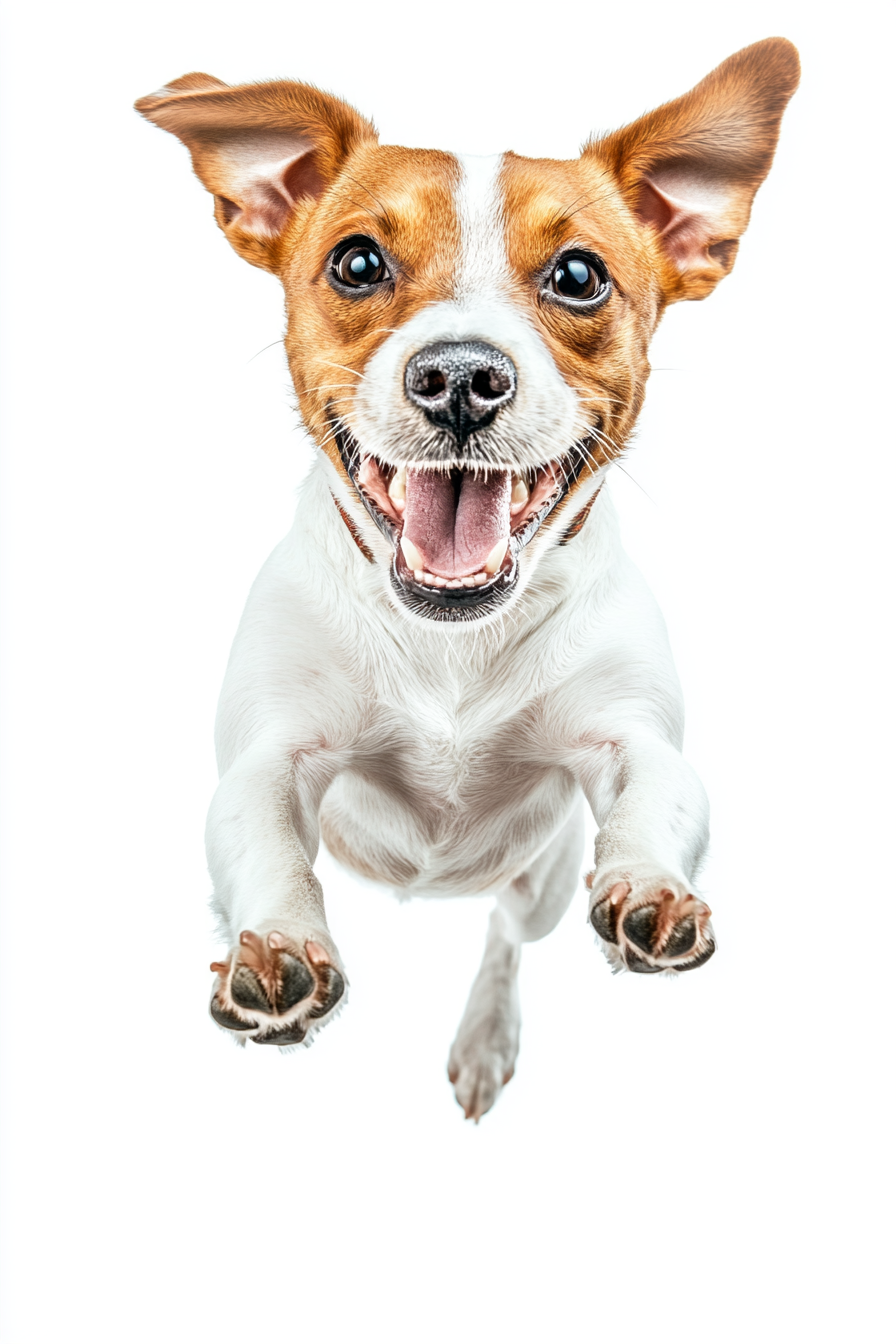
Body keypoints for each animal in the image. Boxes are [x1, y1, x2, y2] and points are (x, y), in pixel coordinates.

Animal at [138, 36, 800, 1118]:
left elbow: (658, 794)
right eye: (357, 262)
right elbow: (267, 843)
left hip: (539, 882)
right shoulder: (268, 758)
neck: (448, 636)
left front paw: (651, 883)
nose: (458, 376)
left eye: (578, 275)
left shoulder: (631, 738)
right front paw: (278, 943)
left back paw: (486, 1036)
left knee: (504, 933)